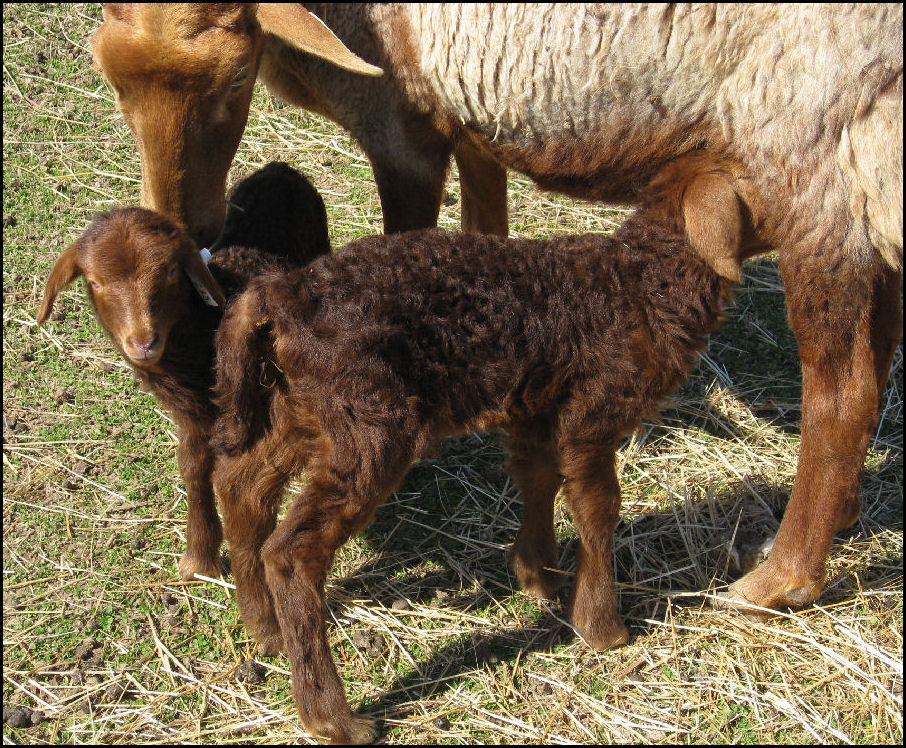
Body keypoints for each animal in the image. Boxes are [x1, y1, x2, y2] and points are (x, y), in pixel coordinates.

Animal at [36, 163, 330, 581]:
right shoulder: (193, 415)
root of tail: (281, 167)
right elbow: (192, 467)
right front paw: (199, 557)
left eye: (173, 272)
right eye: (94, 282)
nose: (144, 342)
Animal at [90, 3, 903, 617]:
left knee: (845, 391)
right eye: (112, 81)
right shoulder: (473, 117)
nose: (182, 228)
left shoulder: (404, 127)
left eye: (234, 83)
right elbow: (486, 231)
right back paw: (841, 517)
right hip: (870, 179)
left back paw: (780, 579)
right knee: (878, 351)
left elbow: (408, 231)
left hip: (811, 158)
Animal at [209, 155, 739, 743]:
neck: (640, 283)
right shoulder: (593, 411)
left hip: (302, 409)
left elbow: (538, 478)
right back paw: (332, 716)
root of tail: (280, 295)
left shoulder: (538, 408)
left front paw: (539, 577)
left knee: (241, 485)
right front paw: (603, 627)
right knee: (293, 550)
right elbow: (598, 508)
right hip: (367, 419)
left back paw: (265, 629)